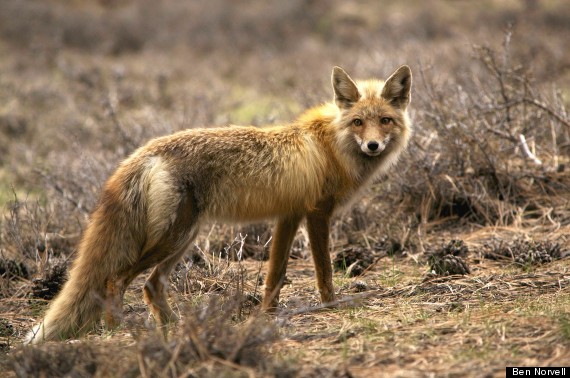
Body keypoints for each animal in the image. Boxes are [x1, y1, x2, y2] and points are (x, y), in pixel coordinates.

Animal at [25, 64, 408, 342]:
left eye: (384, 121)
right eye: (358, 122)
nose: (373, 145)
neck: (333, 145)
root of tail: (144, 151)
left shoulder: (289, 215)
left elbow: (274, 274)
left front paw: (267, 315)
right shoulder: (317, 213)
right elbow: (324, 270)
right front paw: (331, 306)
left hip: (183, 239)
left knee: (151, 285)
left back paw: (174, 327)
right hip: (172, 238)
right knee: (115, 281)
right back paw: (121, 331)